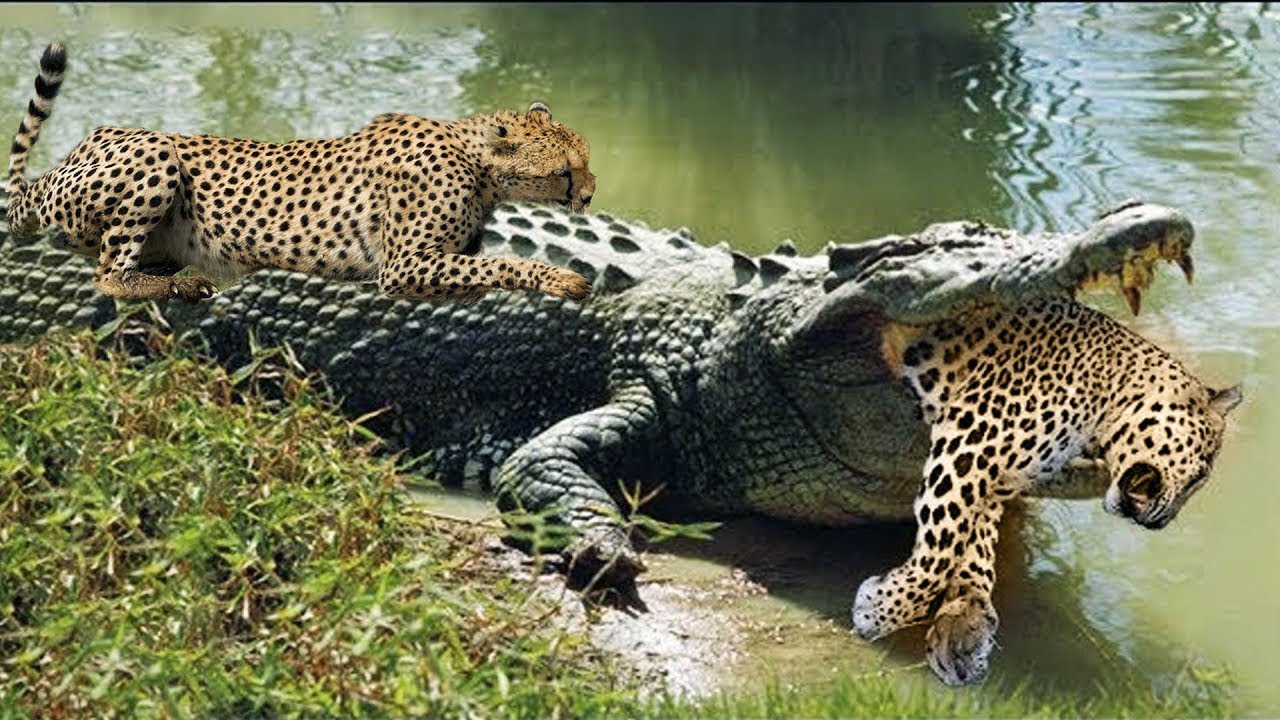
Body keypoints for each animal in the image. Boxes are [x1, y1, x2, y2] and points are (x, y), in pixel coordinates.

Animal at [5, 42, 595, 305]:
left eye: (585, 161)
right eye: (567, 172)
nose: (589, 197)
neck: (479, 162)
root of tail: (74, 152)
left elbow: (484, 266)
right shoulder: (404, 266)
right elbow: (504, 261)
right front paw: (559, 278)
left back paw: (179, 279)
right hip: (155, 153)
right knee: (107, 274)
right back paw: (172, 286)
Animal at [853, 295, 1241, 686]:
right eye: (1200, 475)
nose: (1161, 524)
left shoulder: (998, 476)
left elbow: (973, 544)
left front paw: (961, 624)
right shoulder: (972, 441)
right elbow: (943, 545)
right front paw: (881, 611)